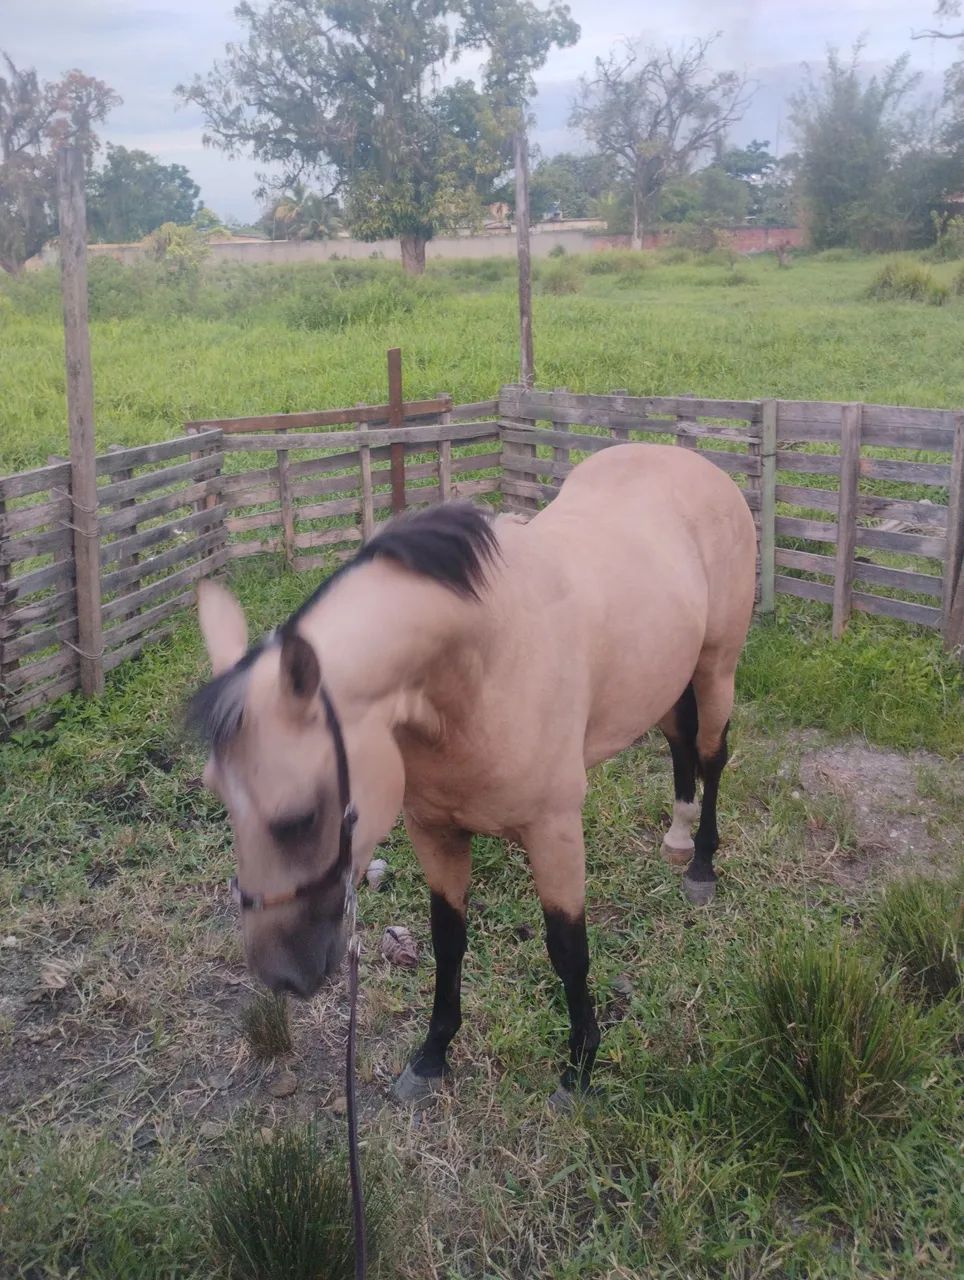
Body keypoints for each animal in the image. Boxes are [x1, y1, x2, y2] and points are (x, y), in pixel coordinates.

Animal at [188, 443, 757, 1105]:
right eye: (219, 796)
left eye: (299, 816)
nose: (282, 973)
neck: (483, 667)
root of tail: (696, 464)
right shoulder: (434, 831)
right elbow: (447, 940)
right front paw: (433, 1055)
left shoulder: (554, 831)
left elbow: (568, 948)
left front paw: (579, 1066)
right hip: (664, 677)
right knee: (678, 743)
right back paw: (677, 835)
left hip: (716, 667)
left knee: (712, 754)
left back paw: (701, 864)